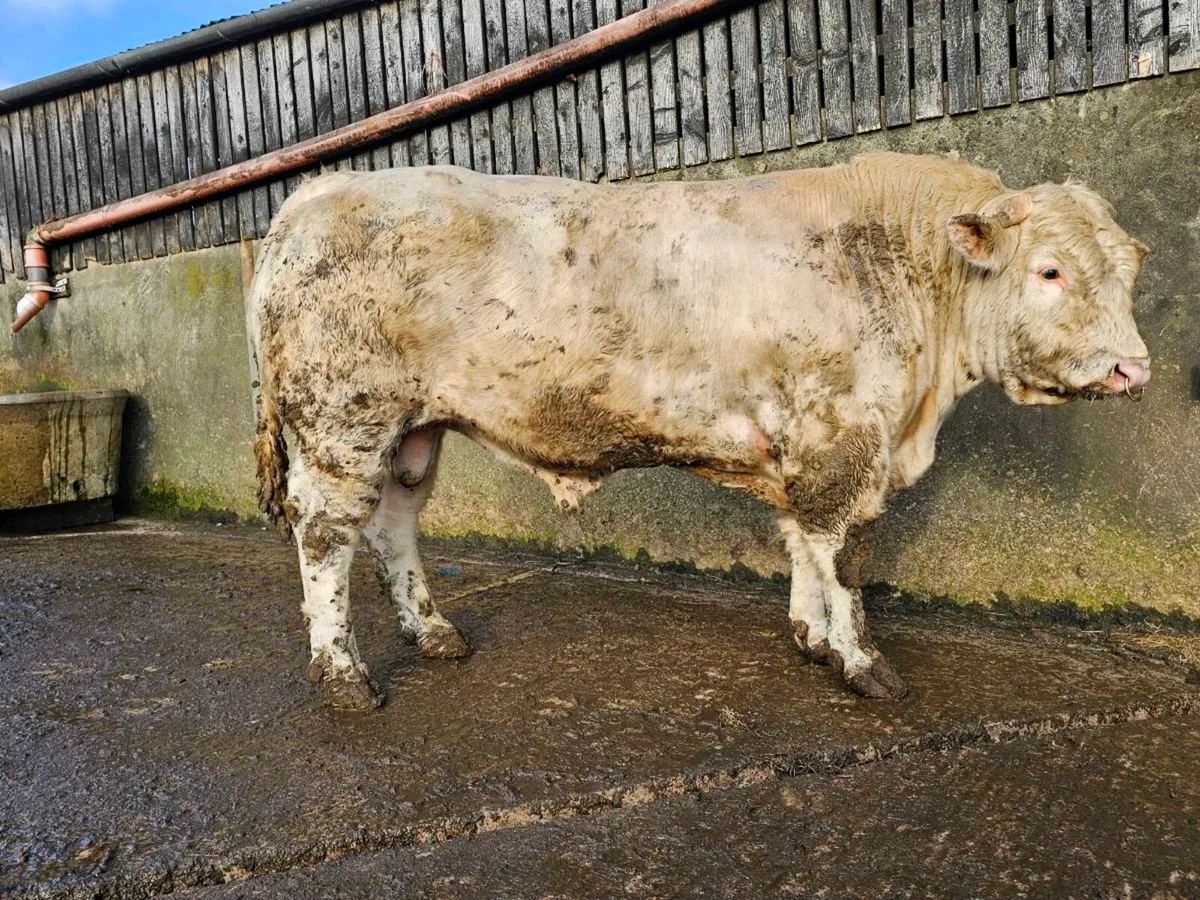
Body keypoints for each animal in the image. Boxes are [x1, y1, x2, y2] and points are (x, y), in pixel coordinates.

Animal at [248, 152, 1150, 710]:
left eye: (1128, 271)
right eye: (1050, 270)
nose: (1132, 370)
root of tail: (315, 194)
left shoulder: (805, 441)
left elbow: (801, 542)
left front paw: (812, 639)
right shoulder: (844, 437)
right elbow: (844, 555)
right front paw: (864, 664)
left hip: (412, 427)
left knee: (394, 523)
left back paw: (434, 633)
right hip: (343, 419)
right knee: (326, 536)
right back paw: (344, 676)